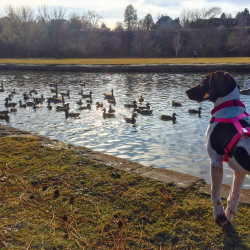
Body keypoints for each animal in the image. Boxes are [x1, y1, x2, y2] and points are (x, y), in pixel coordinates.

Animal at [186, 71, 250, 227]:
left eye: (204, 81)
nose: (187, 91)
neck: (229, 109)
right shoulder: (239, 171)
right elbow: (233, 197)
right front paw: (227, 217)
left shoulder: (216, 163)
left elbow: (215, 192)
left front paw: (219, 215)